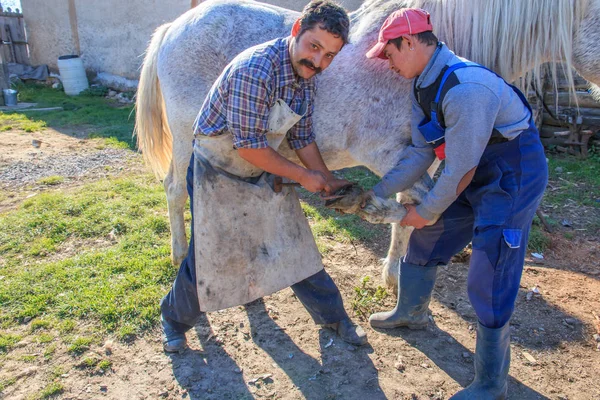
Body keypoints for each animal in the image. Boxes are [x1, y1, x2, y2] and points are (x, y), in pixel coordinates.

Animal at [135, 0, 600, 288]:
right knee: (175, 191)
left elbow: (413, 214)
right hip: (187, 137)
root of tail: (174, 27)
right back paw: (181, 255)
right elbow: (418, 209)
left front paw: (393, 277)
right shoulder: (385, 154)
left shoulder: (427, 159)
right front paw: (369, 211)